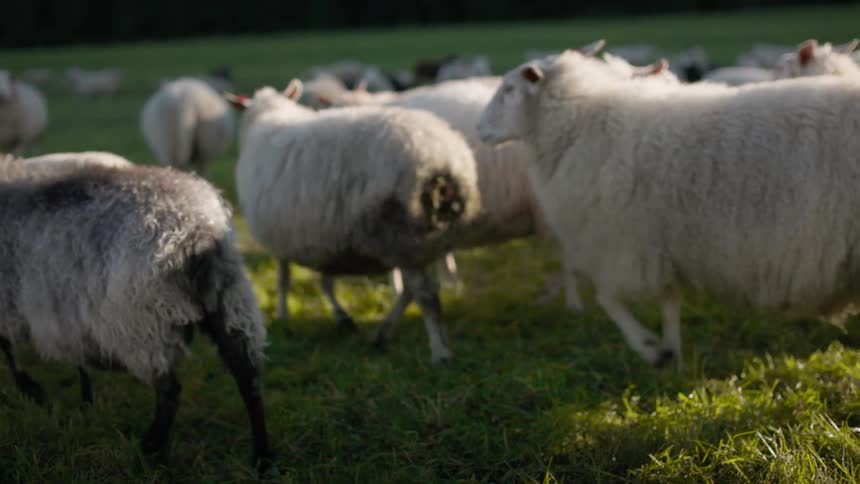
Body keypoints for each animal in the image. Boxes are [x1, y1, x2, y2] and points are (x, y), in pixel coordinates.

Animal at [0, 155, 272, 469]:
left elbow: (8, 350)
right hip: (231, 302)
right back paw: (262, 457)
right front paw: (84, 399)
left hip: (142, 321)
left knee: (169, 391)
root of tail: (196, 231)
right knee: (249, 379)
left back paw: (150, 448)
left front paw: (31, 390)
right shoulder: (68, 312)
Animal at [228, 80, 480, 364]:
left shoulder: (280, 240)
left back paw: (439, 352)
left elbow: (285, 280)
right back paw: (382, 334)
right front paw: (342, 318)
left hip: (402, 237)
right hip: (424, 242)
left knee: (425, 296)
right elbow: (324, 281)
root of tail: (439, 159)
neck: (267, 117)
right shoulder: (320, 239)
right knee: (411, 291)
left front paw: (284, 316)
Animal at [478, 49, 860, 368]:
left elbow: (608, 299)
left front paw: (650, 348)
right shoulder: (661, 245)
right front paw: (673, 356)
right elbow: (669, 305)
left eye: (509, 89)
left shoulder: (625, 246)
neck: (581, 124)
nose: (480, 129)